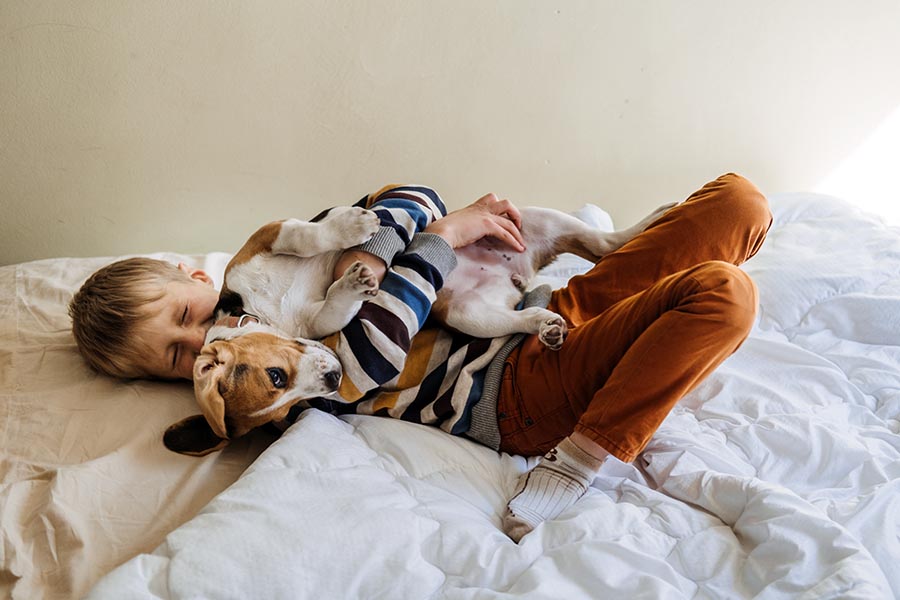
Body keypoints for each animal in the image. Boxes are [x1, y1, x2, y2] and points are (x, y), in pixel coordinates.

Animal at [165, 202, 676, 454]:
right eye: (288, 406)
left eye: (276, 376)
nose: (334, 378)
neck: (268, 311)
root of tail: (517, 276)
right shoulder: (317, 320)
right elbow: (335, 311)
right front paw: (355, 282)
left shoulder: (266, 237)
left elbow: (306, 234)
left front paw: (351, 228)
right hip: (474, 314)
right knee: (535, 305)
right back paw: (546, 324)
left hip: (528, 216)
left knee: (605, 240)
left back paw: (654, 218)